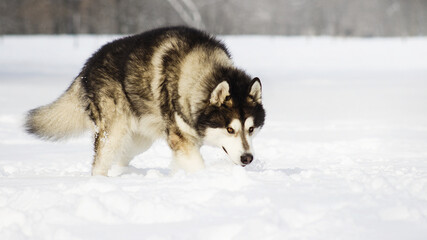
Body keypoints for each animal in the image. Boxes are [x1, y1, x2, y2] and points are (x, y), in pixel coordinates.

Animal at [25, 26, 266, 176]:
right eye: (230, 129)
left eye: (251, 129)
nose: (247, 158)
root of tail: (87, 66)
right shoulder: (182, 140)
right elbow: (198, 166)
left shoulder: (183, 143)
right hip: (114, 132)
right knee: (99, 165)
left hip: (138, 140)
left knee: (121, 158)